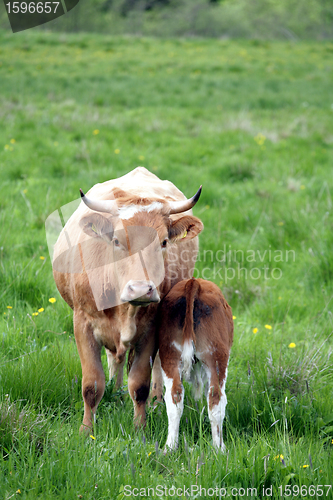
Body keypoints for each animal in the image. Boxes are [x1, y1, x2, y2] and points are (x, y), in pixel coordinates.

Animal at [52, 167, 202, 430]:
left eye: (163, 242)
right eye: (116, 241)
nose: (141, 289)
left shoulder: (150, 329)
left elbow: (139, 385)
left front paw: (139, 428)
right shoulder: (82, 324)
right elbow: (92, 385)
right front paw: (86, 430)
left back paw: (156, 401)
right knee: (115, 359)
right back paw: (115, 393)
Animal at [157, 278, 232, 450]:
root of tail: (193, 282)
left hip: (169, 355)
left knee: (174, 397)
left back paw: (170, 447)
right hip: (217, 357)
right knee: (215, 398)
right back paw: (219, 448)